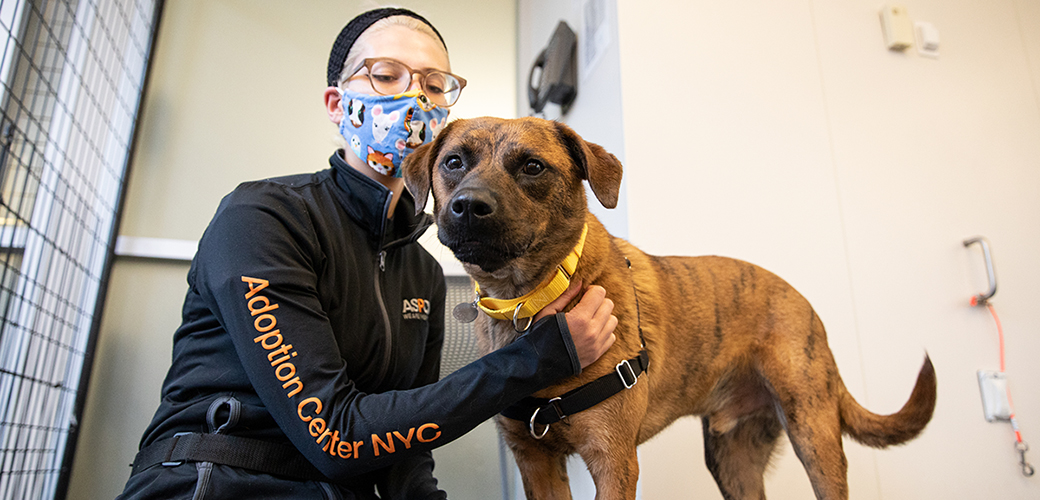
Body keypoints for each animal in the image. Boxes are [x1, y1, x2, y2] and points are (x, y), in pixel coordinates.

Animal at [401, 114, 940, 496]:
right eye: (454, 162)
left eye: (532, 166)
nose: (468, 207)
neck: (535, 301)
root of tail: (805, 303)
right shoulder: (537, 464)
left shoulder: (613, 460)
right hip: (733, 463)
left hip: (815, 437)